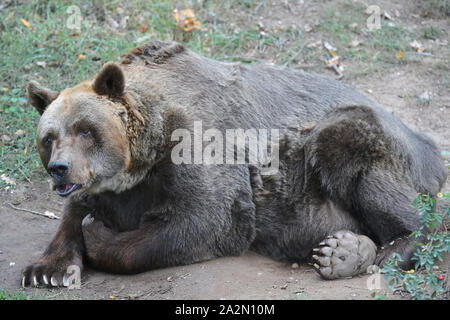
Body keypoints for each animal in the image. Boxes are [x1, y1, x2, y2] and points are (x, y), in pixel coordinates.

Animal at [23, 40, 446, 284]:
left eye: (85, 129)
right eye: (49, 137)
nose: (59, 169)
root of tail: (429, 146)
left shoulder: (198, 141)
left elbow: (205, 219)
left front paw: (99, 236)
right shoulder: (113, 186)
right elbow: (74, 213)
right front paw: (47, 269)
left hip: (357, 138)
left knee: (352, 159)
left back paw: (392, 247)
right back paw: (343, 251)